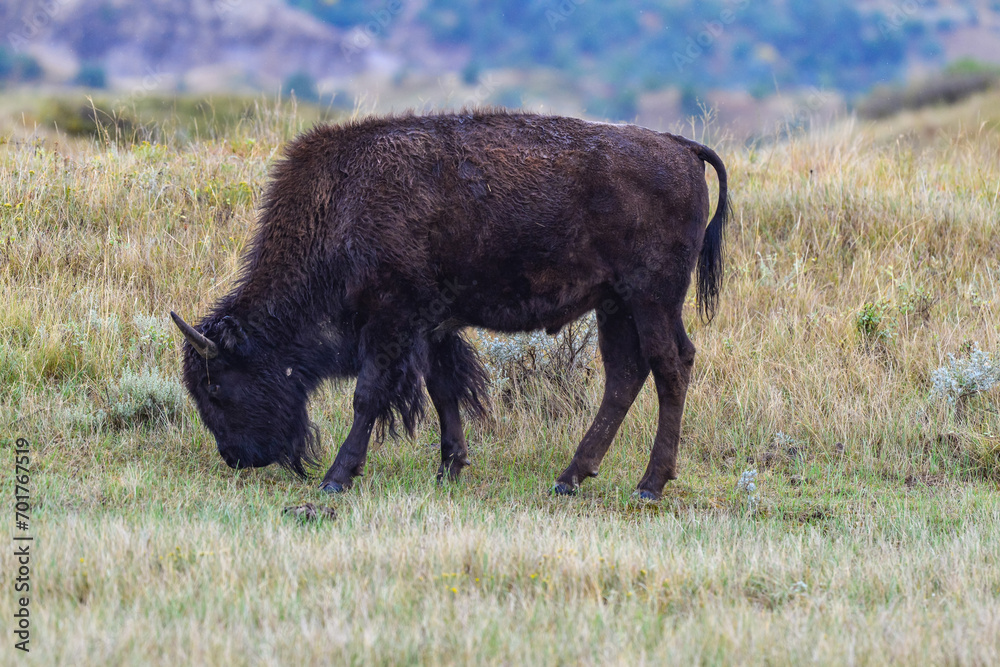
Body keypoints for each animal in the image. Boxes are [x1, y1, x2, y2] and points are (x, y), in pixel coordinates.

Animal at [171, 108, 728, 500]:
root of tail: (681, 147)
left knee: (670, 367)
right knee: (625, 375)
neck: (342, 205)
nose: (236, 457)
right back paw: (569, 478)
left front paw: (337, 478)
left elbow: (368, 396)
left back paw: (649, 485)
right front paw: (450, 467)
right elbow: (443, 390)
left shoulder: (390, 320)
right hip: (615, 306)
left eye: (216, 385)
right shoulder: (432, 327)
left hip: (651, 299)